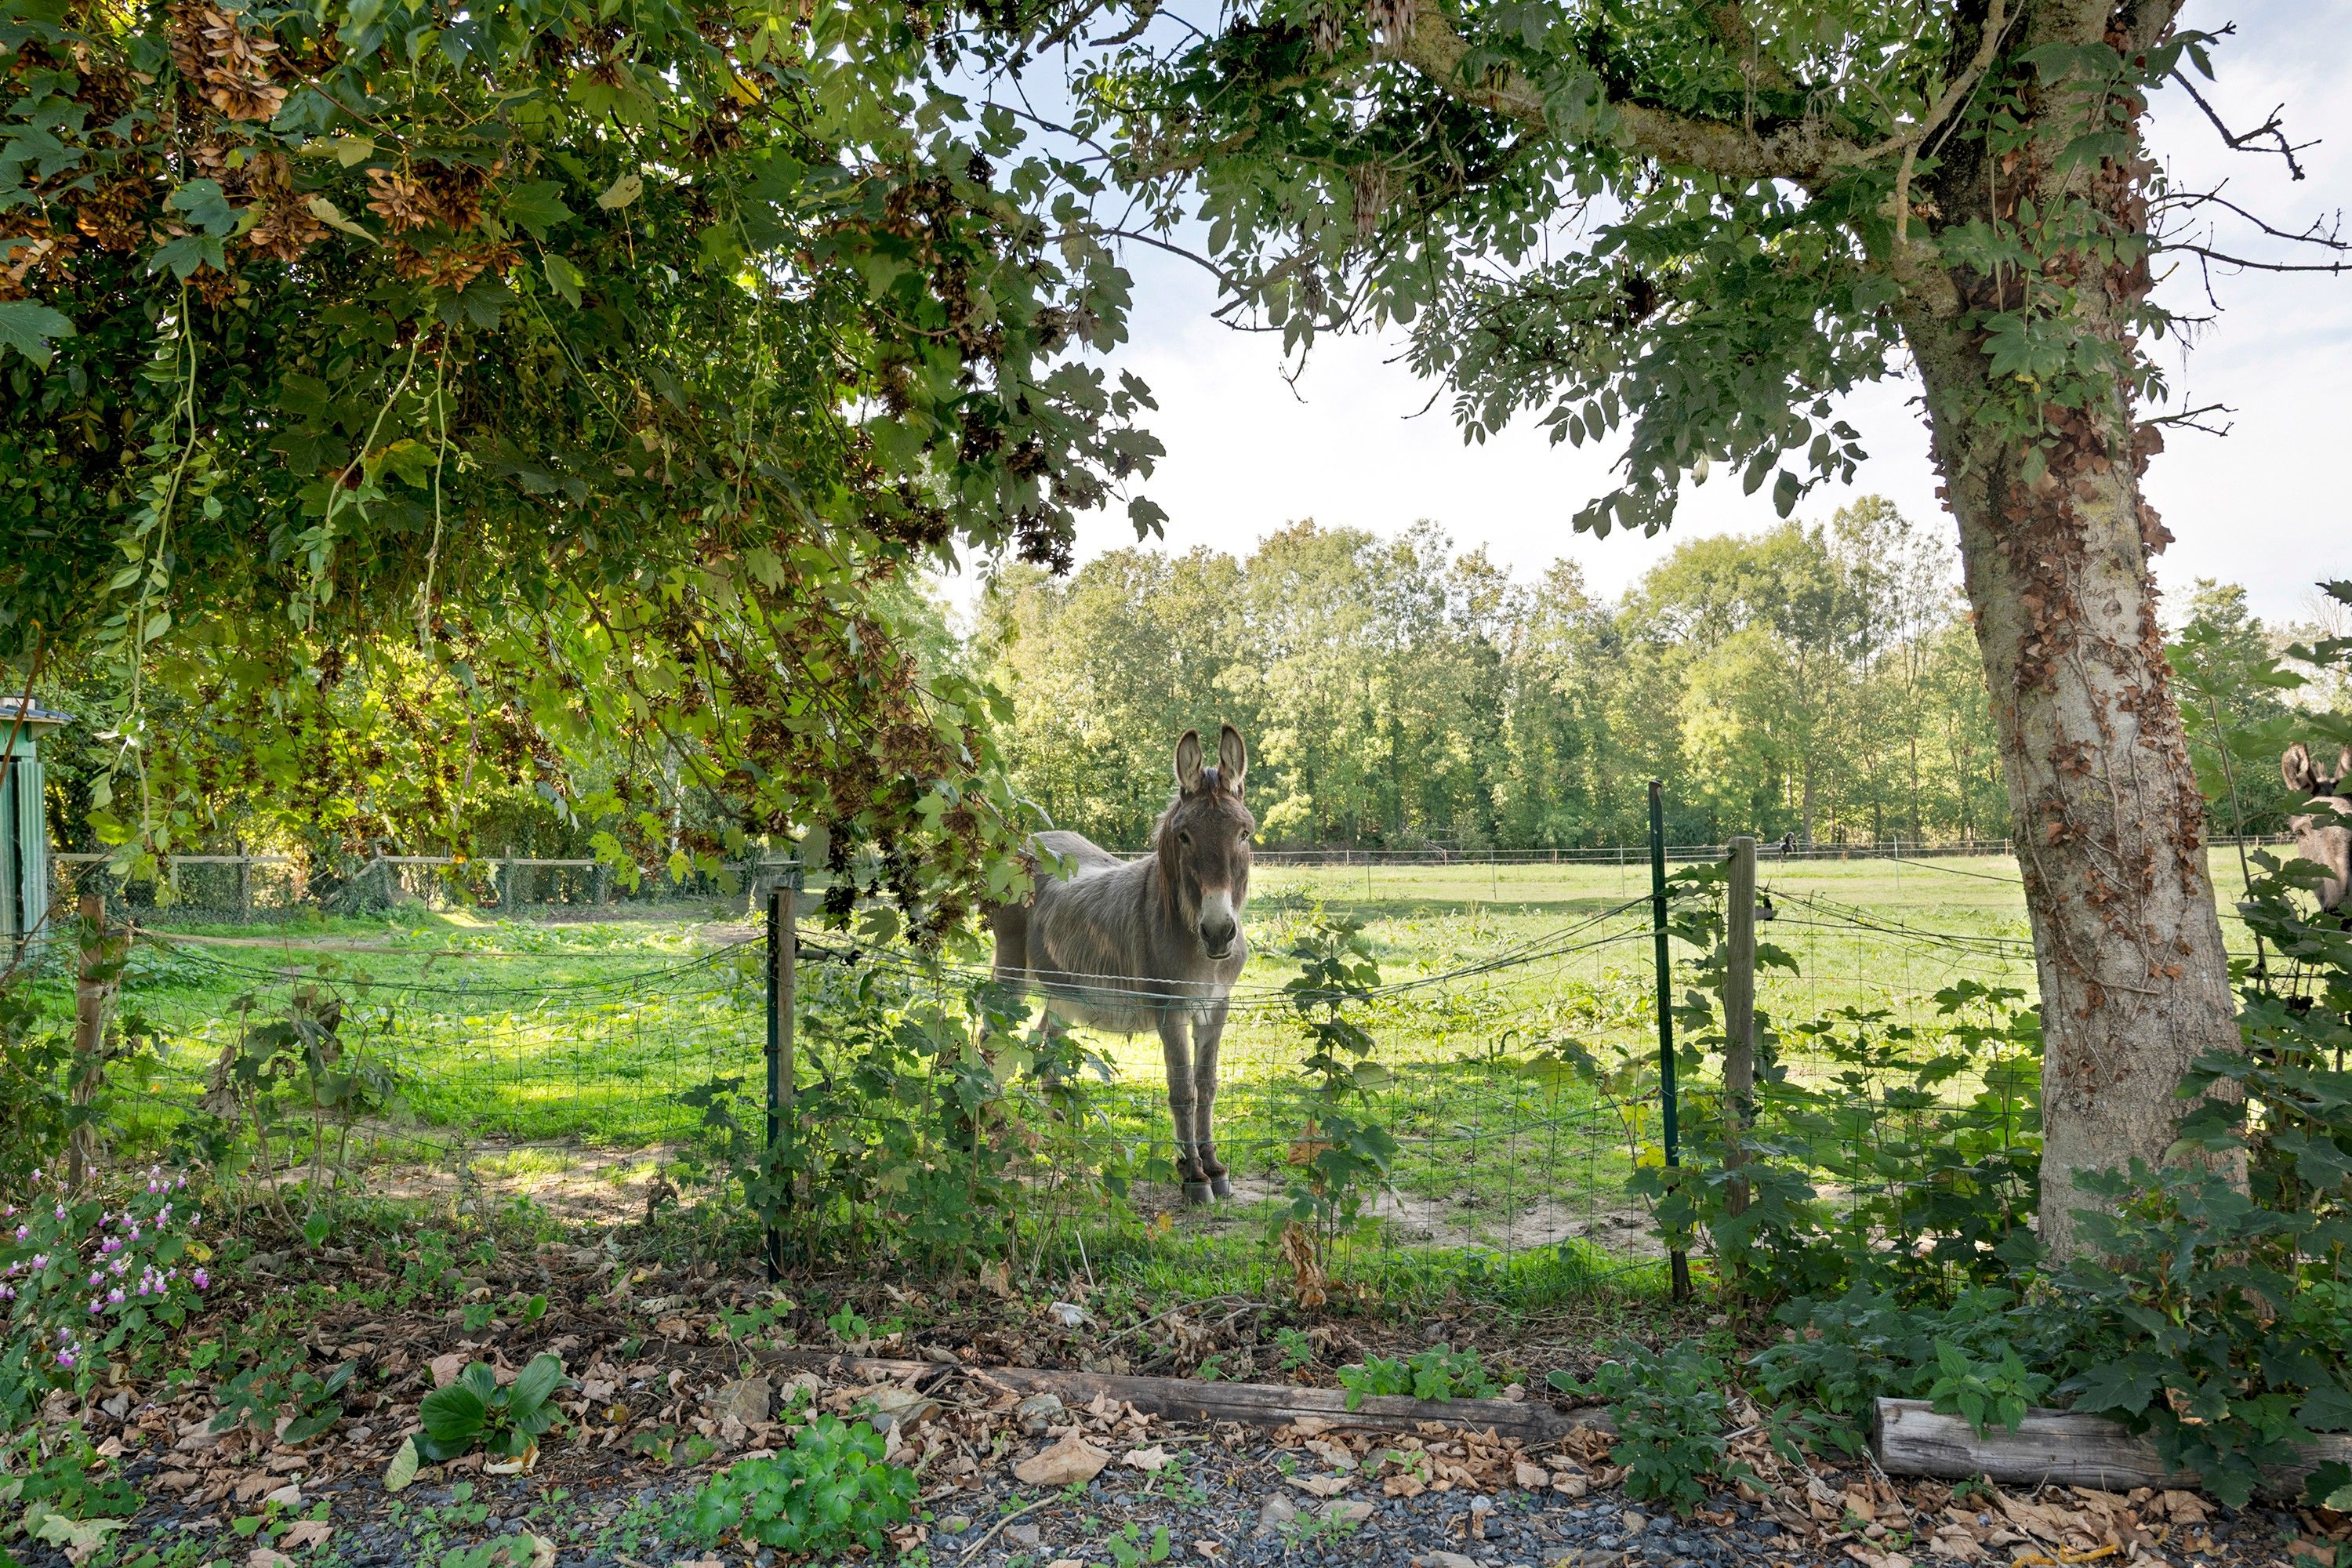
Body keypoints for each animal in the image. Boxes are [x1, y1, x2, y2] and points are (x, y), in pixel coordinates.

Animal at [989, 725, 1255, 1204]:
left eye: (1243, 834)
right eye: (1184, 837)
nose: (1218, 932)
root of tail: (1030, 841)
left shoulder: (1217, 1007)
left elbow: (1207, 1086)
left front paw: (1214, 1167)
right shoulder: (1171, 1010)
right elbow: (1182, 1090)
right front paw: (1193, 1176)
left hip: (1064, 991)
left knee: (1046, 1043)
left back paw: (1063, 1134)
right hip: (1013, 971)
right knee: (992, 1034)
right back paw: (989, 1122)